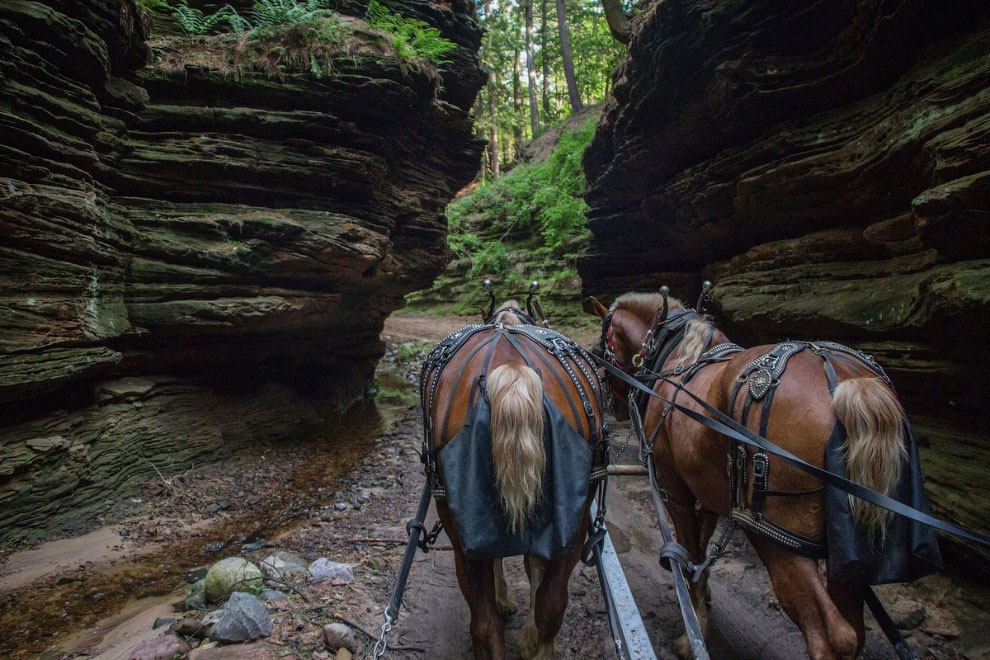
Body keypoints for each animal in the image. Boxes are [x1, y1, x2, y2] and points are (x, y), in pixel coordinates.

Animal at [592, 292, 912, 660]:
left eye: (605, 338)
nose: (606, 388)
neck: (679, 359)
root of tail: (846, 384)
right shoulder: (710, 493)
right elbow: (701, 550)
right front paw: (704, 601)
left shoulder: (675, 490)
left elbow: (689, 551)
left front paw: (692, 632)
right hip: (847, 554)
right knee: (854, 631)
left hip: (778, 540)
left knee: (832, 635)